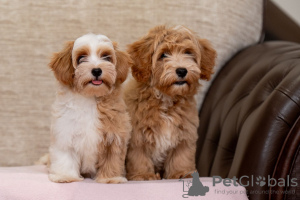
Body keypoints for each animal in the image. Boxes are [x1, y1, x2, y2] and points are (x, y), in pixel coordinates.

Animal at [48, 33, 131, 184]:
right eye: (81, 58)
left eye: (106, 57)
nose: (97, 70)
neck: (90, 98)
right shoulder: (65, 133)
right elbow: (65, 156)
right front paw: (65, 176)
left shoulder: (114, 136)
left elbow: (112, 159)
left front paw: (111, 178)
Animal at [124, 25, 216, 180]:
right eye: (163, 55)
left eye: (188, 52)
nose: (182, 70)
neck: (166, 99)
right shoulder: (137, 136)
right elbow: (139, 157)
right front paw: (143, 175)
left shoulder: (185, 134)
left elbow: (181, 156)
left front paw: (181, 173)